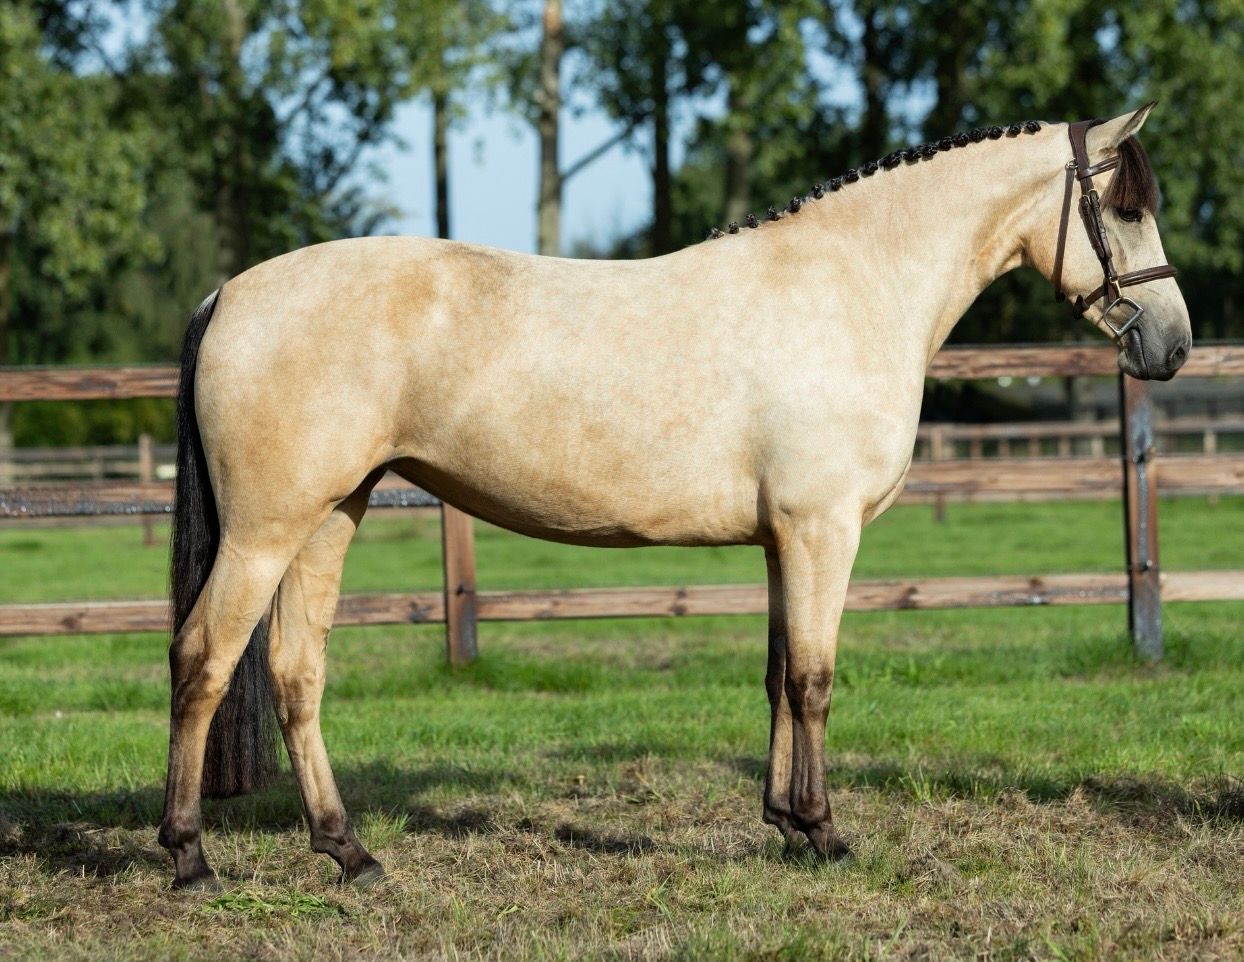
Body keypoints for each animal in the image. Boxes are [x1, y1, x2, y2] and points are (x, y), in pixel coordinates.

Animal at [157, 104, 1190, 889]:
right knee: (203, 661)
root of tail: (227, 293)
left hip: (331, 515)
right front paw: (825, 832)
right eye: (1125, 209)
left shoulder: (783, 540)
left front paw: (783, 822)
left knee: (295, 672)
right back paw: (190, 858)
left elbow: (777, 676)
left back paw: (350, 852)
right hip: (264, 532)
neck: (854, 284)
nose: (1172, 346)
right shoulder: (822, 533)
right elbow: (815, 681)